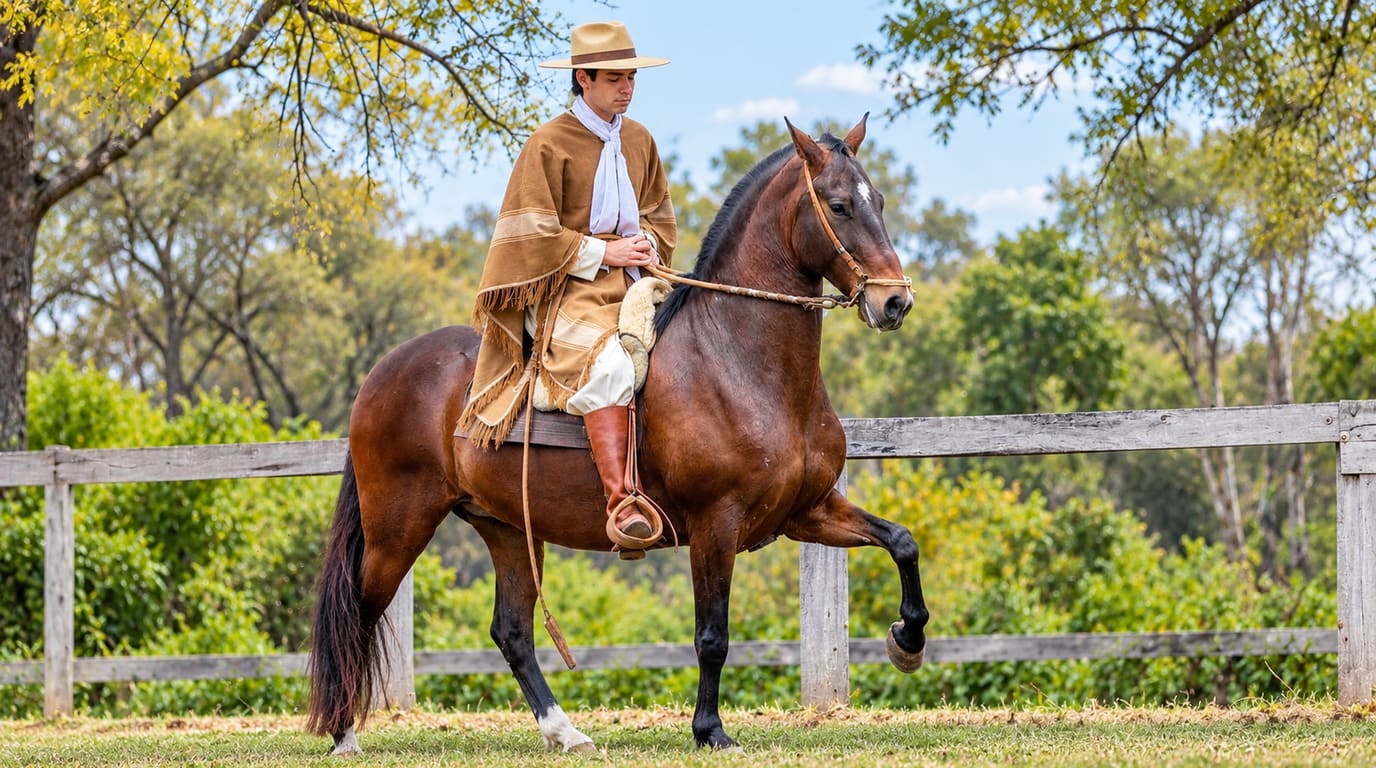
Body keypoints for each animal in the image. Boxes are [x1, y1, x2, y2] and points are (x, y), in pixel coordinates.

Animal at [306, 115, 930, 754]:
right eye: (839, 205)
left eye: (879, 201)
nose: (894, 300)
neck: (737, 360)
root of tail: (384, 372)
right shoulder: (716, 525)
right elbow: (712, 635)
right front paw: (710, 729)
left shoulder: (808, 511)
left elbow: (902, 542)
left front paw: (906, 640)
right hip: (398, 527)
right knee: (359, 612)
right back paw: (344, 733)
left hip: (507, 530)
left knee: (512, 631)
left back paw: (564, 732)